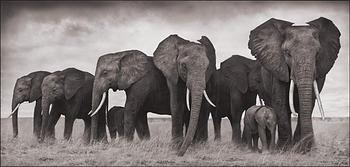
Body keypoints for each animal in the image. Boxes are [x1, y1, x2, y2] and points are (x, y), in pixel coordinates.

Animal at [247, 17, 340, 151]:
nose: (311, 147)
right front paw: (284, 149)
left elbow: (309, 101)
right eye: (287, 53)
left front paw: (301, 149)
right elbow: (280, 102)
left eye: (317, 53)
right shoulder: (278, 66)